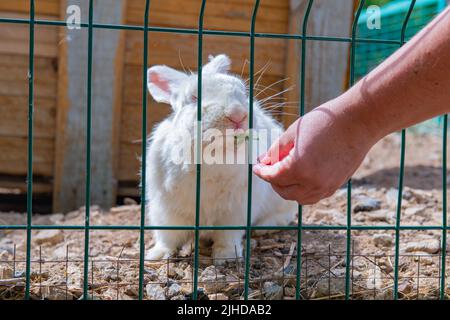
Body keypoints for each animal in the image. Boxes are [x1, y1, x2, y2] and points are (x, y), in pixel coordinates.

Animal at [144, 53, 298, 262]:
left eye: (242, 91)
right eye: (194, 98)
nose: (238, 114)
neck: (215, 155)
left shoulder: (235, 211)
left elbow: (228, 235)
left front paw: (226, 256)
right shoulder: (166, 210)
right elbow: (167, 236)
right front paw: (157, 255)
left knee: (284, 215)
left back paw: (262, 229)